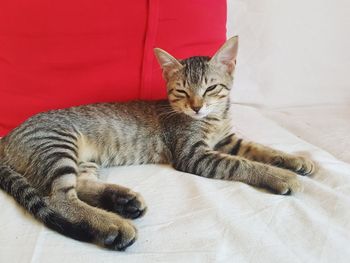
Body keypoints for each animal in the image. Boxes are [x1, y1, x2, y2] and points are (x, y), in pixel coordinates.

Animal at [0, 36, 314, 251]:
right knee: (59, 198)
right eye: (182, 91)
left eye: (211, 88)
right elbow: (240, 163)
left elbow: (260, 149)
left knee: (80, 184)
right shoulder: (193, 154)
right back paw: (114, 225)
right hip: (57, 144)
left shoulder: (228, 140)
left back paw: (123, 201)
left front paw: (295, 160)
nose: (197, 107)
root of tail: (7, 136)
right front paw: (280, 176)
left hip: (82, 159)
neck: (214, 119)